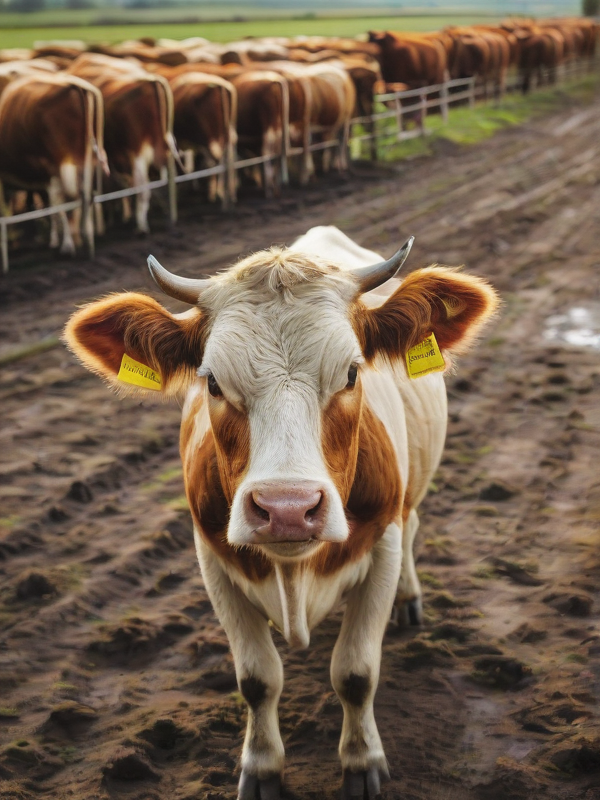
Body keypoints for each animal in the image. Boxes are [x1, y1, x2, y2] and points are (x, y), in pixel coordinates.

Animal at [0, 72, 106, 255]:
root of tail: (74, 84)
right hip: (84, 163)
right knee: (85, 197)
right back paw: (87, 242)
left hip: (59, 166)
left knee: (65, 203)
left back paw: (70, 245)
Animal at [64, 224, 499, 798]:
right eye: (212, 381)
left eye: (352, 373)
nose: (287, 509)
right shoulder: (212, 557)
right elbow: (257, 679)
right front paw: (262, 766)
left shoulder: (380, 545)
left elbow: (355, 672)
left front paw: (361, 761)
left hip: (409, 501)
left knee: (412, 529)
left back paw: (409, 599)